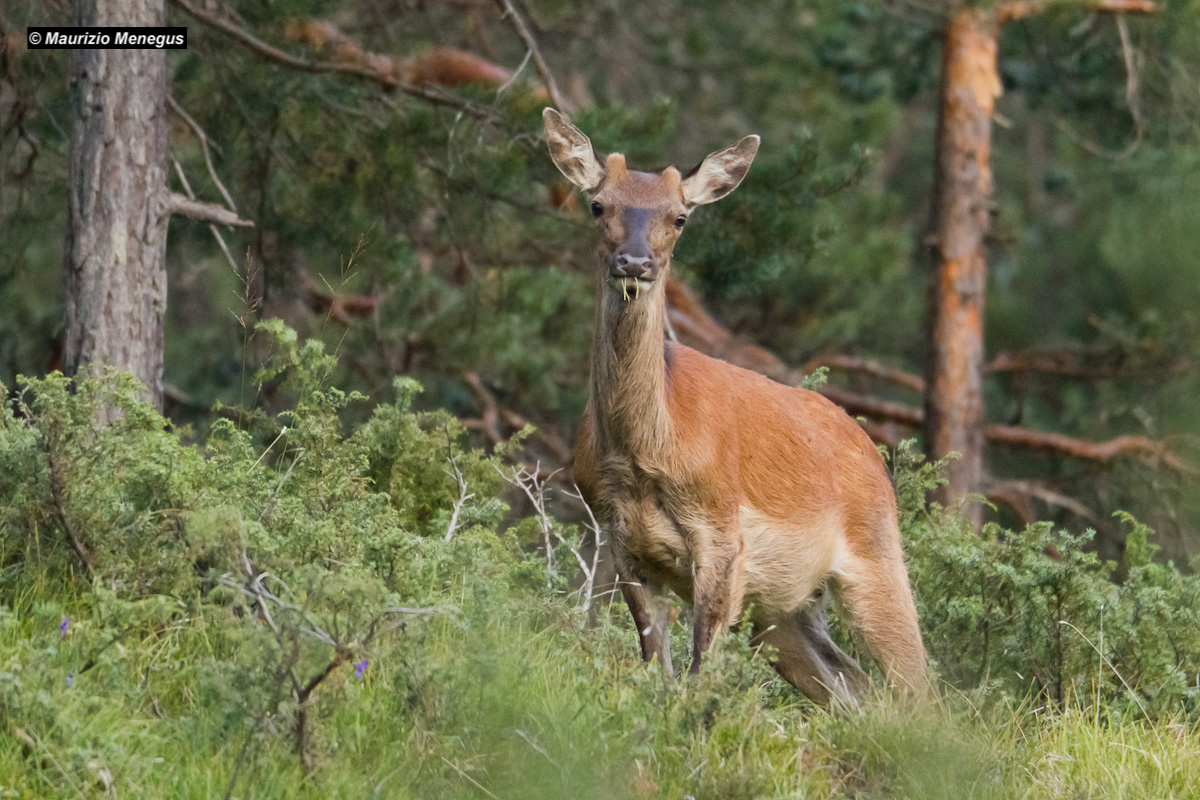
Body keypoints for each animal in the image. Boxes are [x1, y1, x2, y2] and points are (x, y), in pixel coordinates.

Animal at [544, 108, 928, 704]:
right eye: (598, 204)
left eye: (680, 217)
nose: (635, 262)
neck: (642, 454)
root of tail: (874, 453)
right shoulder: (620, 541)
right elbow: (656, 668)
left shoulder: (722, 533)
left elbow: (701, 673)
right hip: (784, 609)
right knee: (855, 688)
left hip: (877, 554)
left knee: (923, 693)